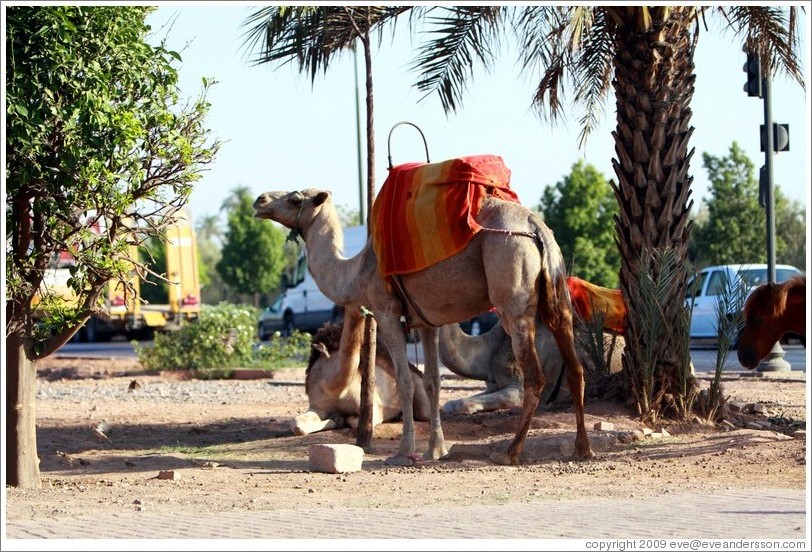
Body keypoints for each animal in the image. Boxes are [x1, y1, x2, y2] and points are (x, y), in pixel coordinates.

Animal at [294, 320, 432, 436]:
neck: (336, 389)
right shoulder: (317, 406)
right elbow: (297, 425)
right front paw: (337, 419)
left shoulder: (375, 410)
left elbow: (356, 422)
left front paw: (339, 419)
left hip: (420, 396)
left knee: (424, 413)